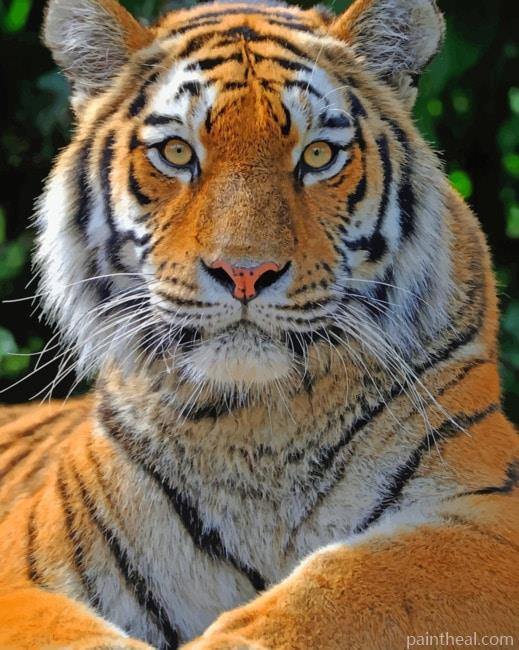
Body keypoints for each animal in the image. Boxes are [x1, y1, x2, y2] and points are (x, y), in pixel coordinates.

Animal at [0, 0, 518, 648]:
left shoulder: (487, 513)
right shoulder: (22, 571)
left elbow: (351, 584)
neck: (257, 430)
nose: (245, 272)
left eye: (318, 156)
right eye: (177, 153)